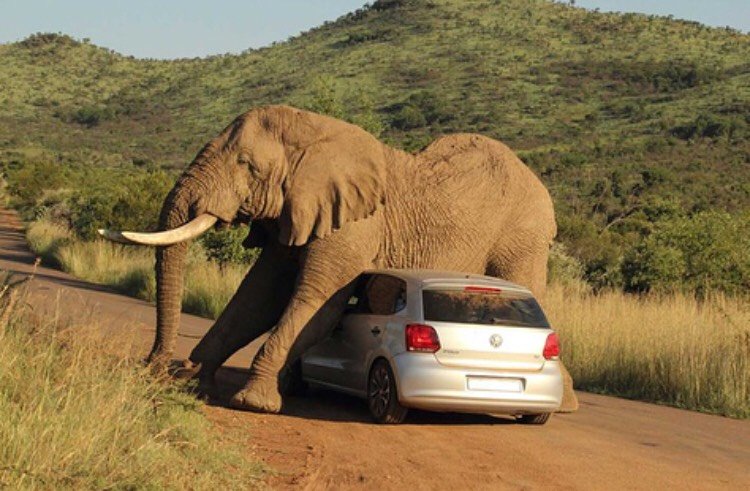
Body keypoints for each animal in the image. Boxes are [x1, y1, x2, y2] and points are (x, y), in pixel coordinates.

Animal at [101, 104, 580, 416]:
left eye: (247, 165)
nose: (154, 365)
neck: (316, 133)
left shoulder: (353, 225)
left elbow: (317, 302)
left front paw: (253, 402)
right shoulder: (296, 212)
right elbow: (257, 299)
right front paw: (194, 380)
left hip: (523, 233)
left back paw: (566, 403)